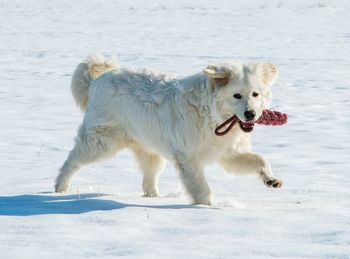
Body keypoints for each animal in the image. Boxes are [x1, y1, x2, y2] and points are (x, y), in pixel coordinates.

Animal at [55, 54, 284, 205]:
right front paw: (207, 209)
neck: (212, 114)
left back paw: (154, 198)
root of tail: (98, 80)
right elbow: (201, 189)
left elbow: (260, 160)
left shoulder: (228, 154)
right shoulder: (188, 158)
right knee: (72, 160)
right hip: (101, 143)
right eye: (237, 95)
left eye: (255, 94)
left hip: (150, 150)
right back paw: (60, 188)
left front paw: (271, 180)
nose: (250, 114)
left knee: (149, 179)